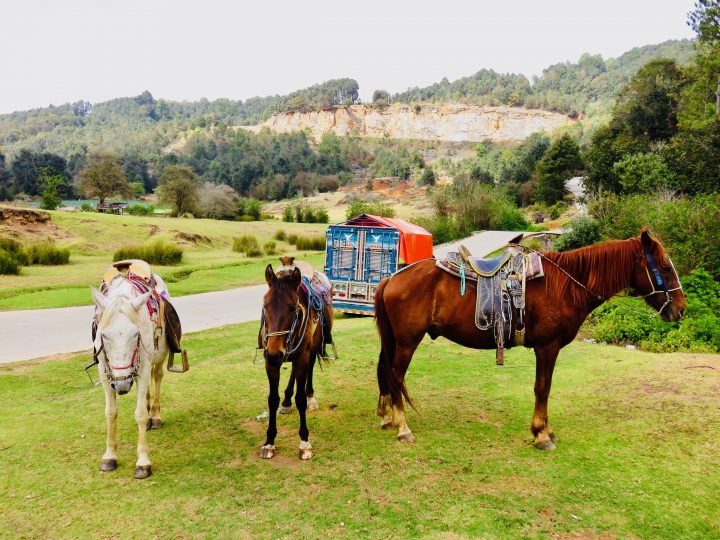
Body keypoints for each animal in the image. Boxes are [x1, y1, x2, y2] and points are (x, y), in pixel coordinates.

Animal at [90, 272, 171, 478]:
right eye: (104, 335)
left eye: (136, 334)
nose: (121, 385)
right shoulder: (105, 373)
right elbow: (110, 413)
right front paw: (109, 456)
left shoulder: (142, 370)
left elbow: (140, 413)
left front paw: (143, 462)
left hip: (158, 358)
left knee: (157, 377)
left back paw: (154, 416)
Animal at [376, 230, 688, 450]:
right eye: (664, 267)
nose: (681, 310)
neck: (566, 286)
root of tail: (393, 278)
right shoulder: (547, 347)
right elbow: (543, 389)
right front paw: (541, 434)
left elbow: (544, 389)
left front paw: (546, 430)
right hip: (407, 341)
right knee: (396, 375)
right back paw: (403, 427)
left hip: (395, 340)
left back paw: (388, 417)